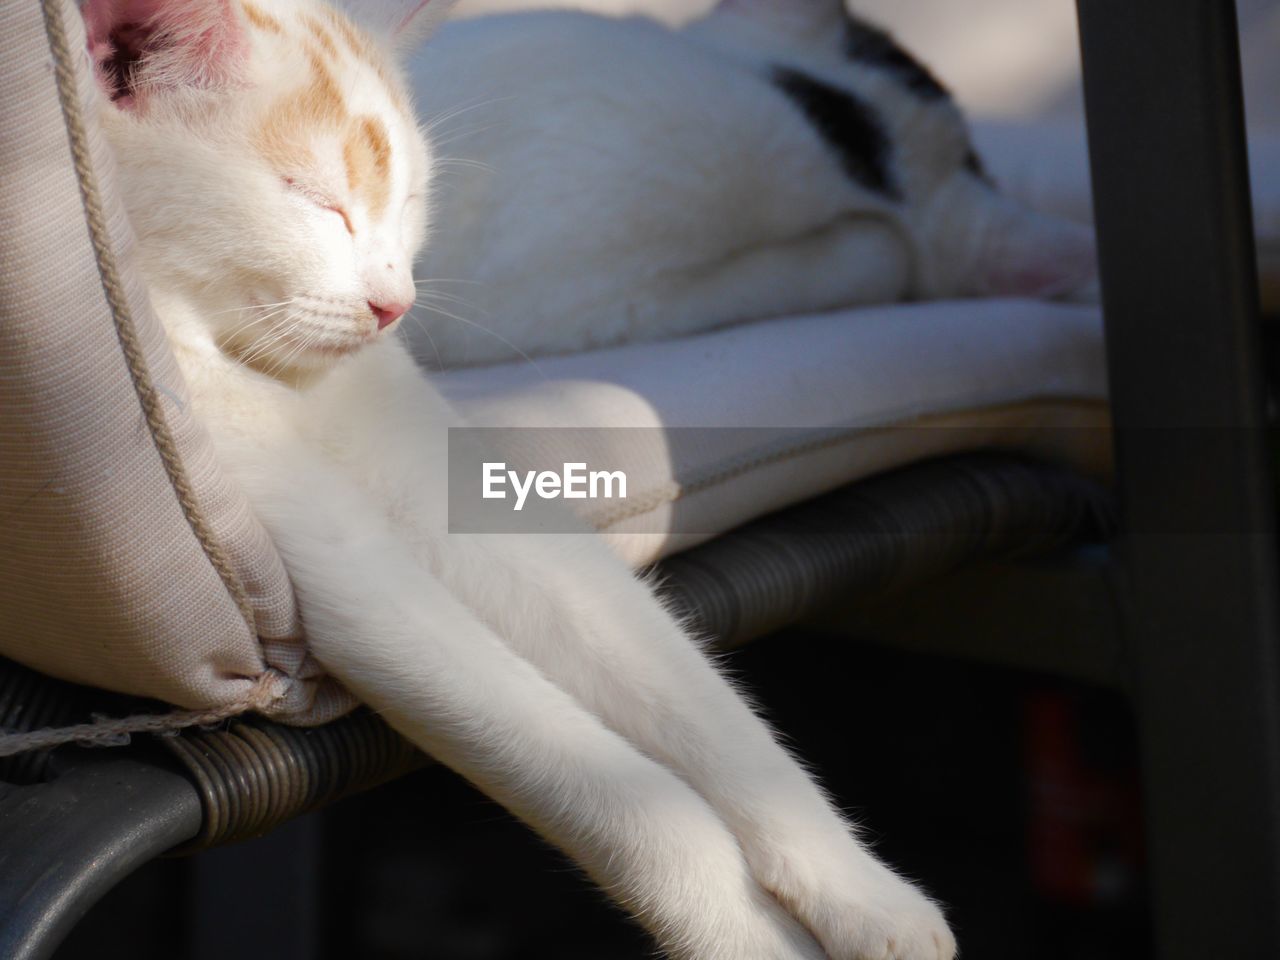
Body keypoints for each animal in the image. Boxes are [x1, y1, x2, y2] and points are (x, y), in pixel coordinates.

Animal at [90, 0, 962, 957]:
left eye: (409, 204)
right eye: (314, 199)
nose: (395, 304)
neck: (261, 374)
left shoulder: (460, 496)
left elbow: (700, 702)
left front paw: (870, 899)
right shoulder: (320, 551)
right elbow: (623, 795)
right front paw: (753, 939)